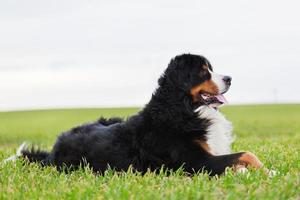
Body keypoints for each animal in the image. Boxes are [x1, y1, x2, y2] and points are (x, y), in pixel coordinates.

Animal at [4, 54, 274, 176]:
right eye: (203, 71)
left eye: (212, 69)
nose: (229, 78)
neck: (182, 107)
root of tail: (53, 150)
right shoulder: (196, 162)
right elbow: (244, 155)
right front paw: (264, 172)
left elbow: (246, 155)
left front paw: (263, 170)